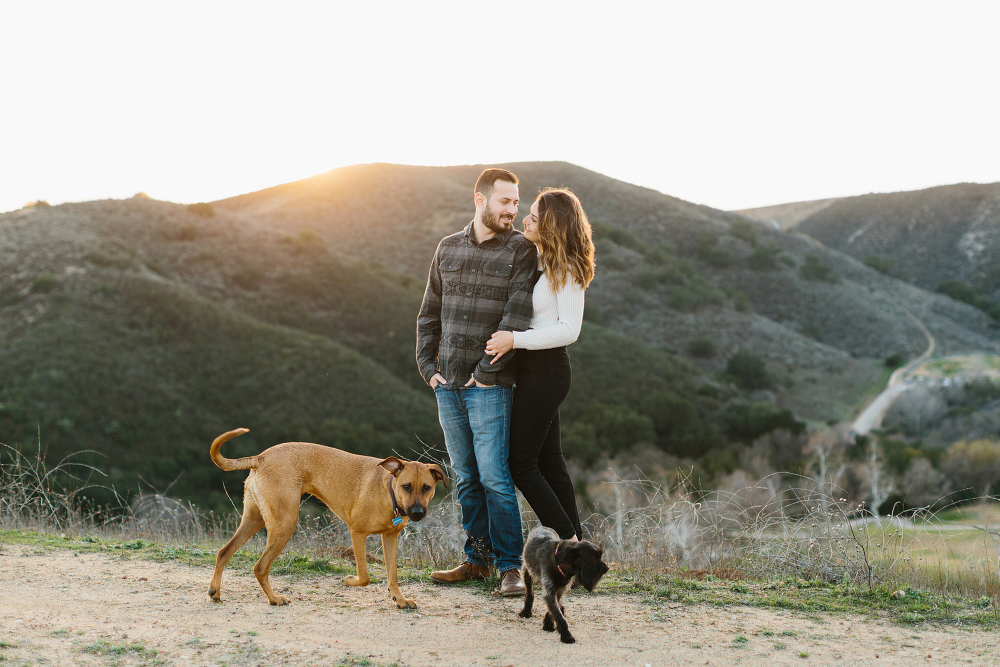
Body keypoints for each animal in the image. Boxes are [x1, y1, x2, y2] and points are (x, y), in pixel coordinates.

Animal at [207, 428, 446, 612]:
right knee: (260, 567)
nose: (417, 513)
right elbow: (365, 576)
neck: (388, 492)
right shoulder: (357, 533)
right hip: (284, 524)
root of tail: (262, 457)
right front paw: (350, 580)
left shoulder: (390, 538)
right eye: (406, 486)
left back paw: (215, 591)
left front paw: (400, 599)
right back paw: (274, 599)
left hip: (254, 520)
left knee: (224, 552)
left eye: (427, 488)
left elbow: (392, 575)